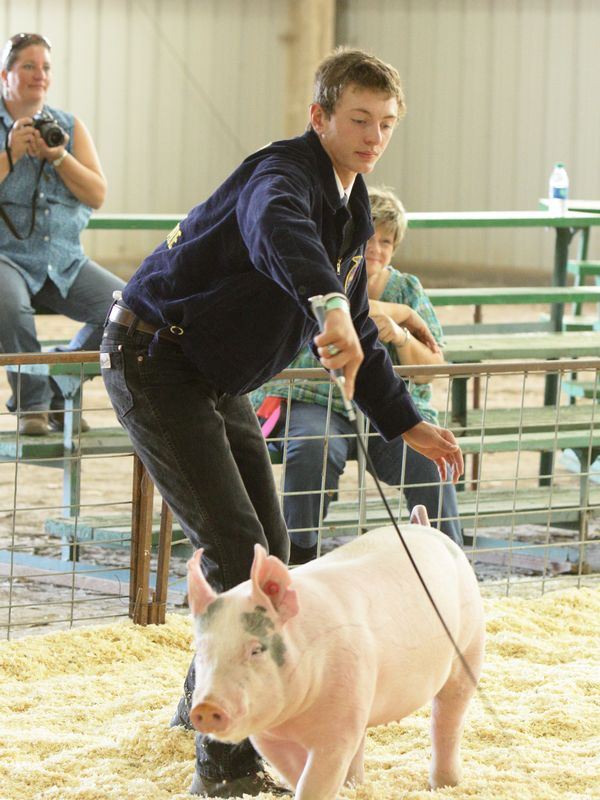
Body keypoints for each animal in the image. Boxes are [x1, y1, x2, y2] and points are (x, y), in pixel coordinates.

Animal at [186, 507, 484, 799]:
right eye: (201, 650)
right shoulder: (268, 735)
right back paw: (355, 785)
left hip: (469, 646)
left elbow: (315, 780)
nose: (206, 707)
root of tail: (426, 527)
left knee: (447, 720)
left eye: (256, 649)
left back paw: (445, 785)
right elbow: (295, 772)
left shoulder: (337, 727)